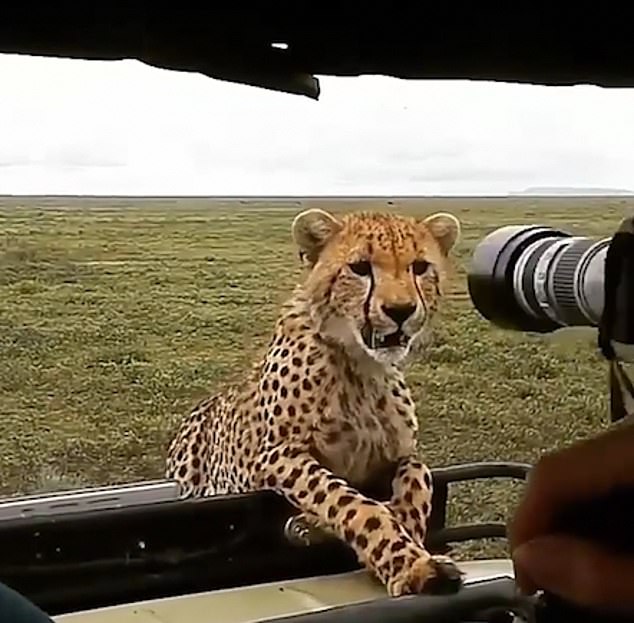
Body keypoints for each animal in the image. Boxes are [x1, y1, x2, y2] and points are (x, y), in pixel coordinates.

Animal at [163, 210, 460, 600]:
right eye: (360, 267)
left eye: (421, 267)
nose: (400, 310)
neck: (360, 364)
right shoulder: (278, 456)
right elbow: (350, 503)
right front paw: (409, 565)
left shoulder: (400, 454)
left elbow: (418, 480)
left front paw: (409, 537)